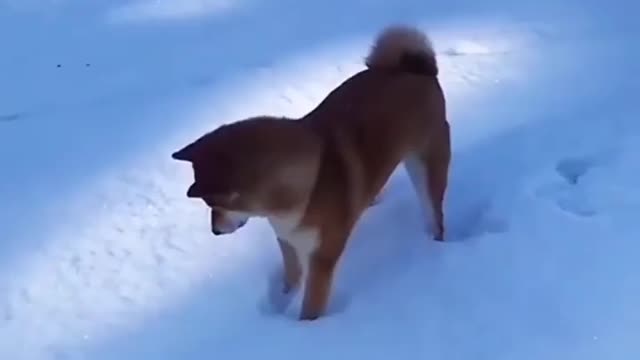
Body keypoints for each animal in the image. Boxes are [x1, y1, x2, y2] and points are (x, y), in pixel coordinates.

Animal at [170, 25, 450, 320]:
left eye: (213, 204)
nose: (214, 231)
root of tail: (417, 68)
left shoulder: (321, 258)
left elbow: (310, 307)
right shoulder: (287, 241)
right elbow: (289, 282)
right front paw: (278, 307)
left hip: (428, 168)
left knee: (434, 214)